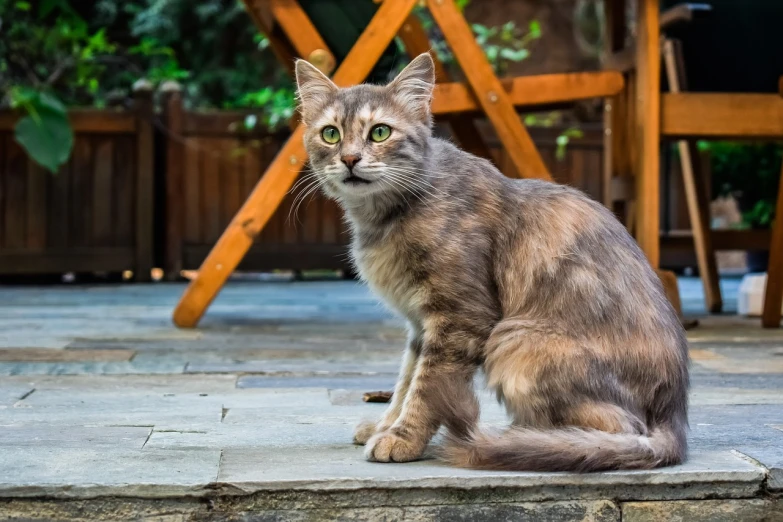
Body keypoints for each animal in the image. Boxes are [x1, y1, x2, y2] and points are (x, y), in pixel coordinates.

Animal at [296, 52, 692, 472]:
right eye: (331, 134)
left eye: (380, 133)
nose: (350, 158)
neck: (386, 217)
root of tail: (674, 417)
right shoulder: (419, 325)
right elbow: (405, 381)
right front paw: (385, 425)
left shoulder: (459, 318)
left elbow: (427, 387)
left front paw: (403, 438)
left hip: (514, 341)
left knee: (620, 428)